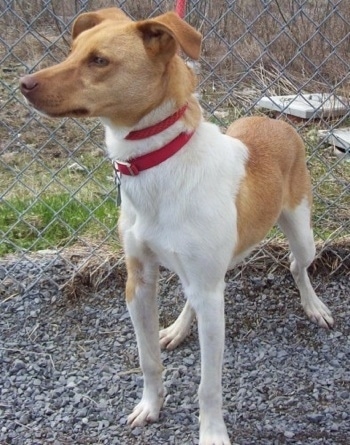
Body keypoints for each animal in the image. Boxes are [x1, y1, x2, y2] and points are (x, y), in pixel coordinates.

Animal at [19, 7, 334, 444]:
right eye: (71, 51)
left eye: (99, 60)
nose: (23, 84)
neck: (159, 165)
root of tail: (274, 120)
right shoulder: (139, 282)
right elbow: (147, 358)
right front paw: (150, 406)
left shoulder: (210, 294)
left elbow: (208, 385)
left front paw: (212, 433)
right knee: (195, 296)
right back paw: (179, 327)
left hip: (301, 234)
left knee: (296, 265)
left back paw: (313, 305)